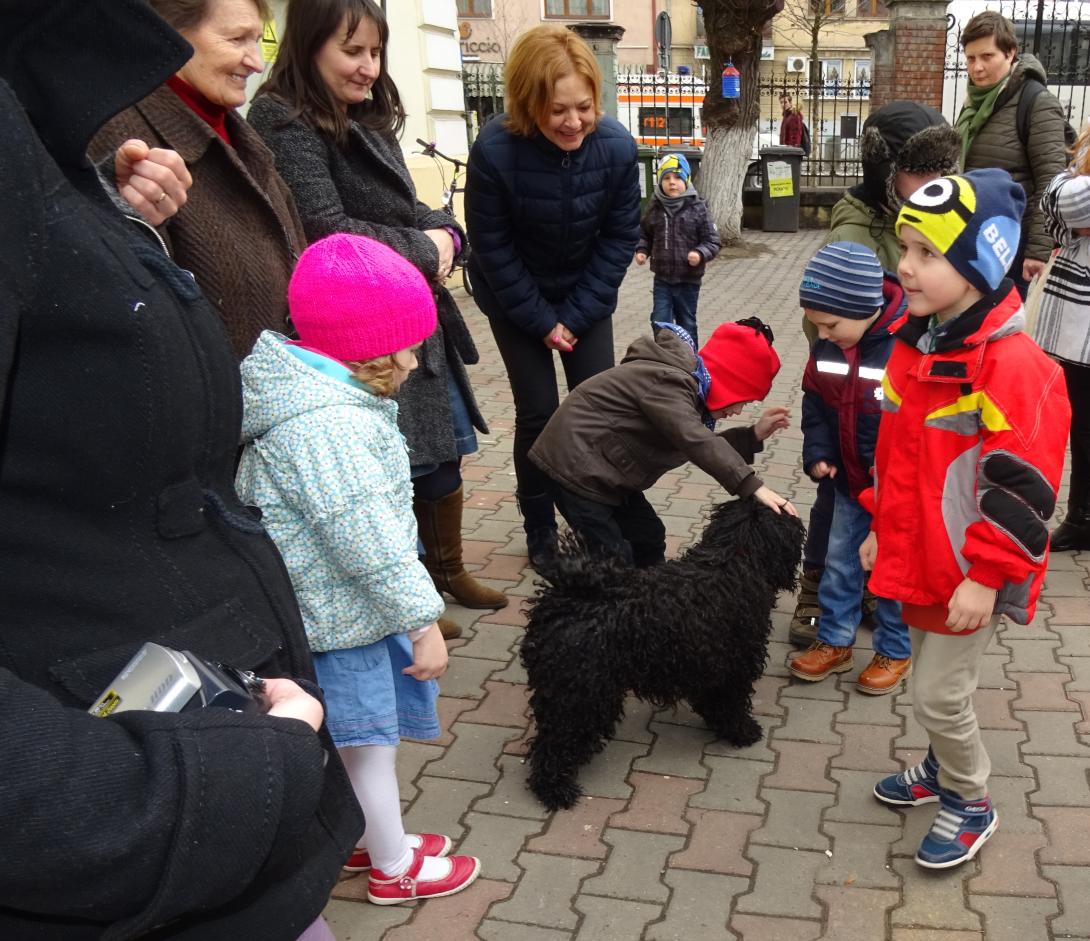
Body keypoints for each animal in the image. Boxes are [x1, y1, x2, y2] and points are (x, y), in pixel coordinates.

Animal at [523, 497, 806, 811]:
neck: (734, 556)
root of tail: (565, 600)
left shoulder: (709, 662)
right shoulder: (735, 663)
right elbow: (731, 703)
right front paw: (742, 731)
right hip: (583, 694)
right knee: (555, 744)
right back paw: (555, 789)